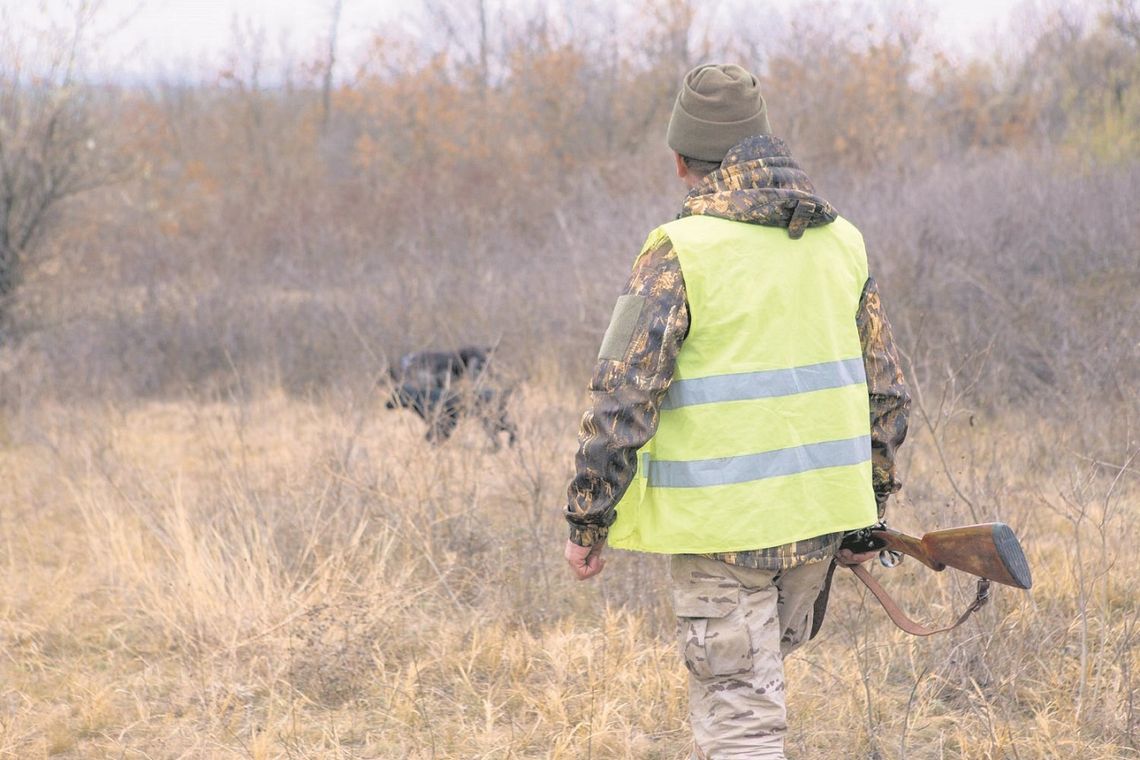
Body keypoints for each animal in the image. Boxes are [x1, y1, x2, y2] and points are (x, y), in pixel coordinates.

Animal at [387, 348, 522, 448]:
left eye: (394, 395)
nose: (386, 404)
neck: (421, 396)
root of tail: (502, 393)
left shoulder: (446, 421)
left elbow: (434, 435)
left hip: (492, 420)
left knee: (507, 431)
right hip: (498, 418)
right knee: (512, 428)